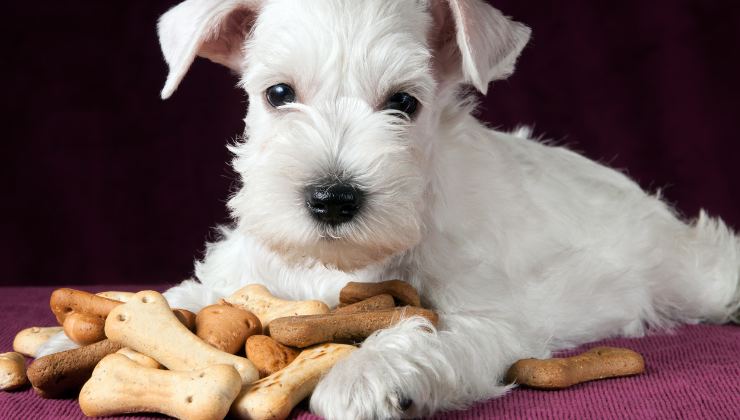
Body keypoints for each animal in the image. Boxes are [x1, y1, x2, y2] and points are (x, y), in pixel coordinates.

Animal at [36, 0, 740, 418]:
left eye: (404, 103)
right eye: (278, 93)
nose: (332, 197)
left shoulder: (484, 315)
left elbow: (425, 332)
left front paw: (365, 375)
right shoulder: (245, 276)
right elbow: (184, 296)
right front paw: (65, 338)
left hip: (698, 275)